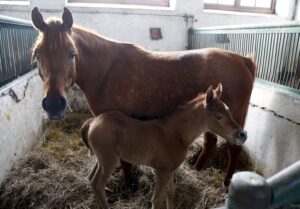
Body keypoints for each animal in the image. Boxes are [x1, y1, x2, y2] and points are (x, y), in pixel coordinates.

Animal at [81, 84, 247, 208]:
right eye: (219, 117)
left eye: (228, 110)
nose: (242, 134)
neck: (176, 134)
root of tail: (93, 121)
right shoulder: (162, 171)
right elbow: (157, 199)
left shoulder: (171, 169)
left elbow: (171, 193)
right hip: (109, 160)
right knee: (97, 183)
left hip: (102, 159)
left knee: (91, 178)